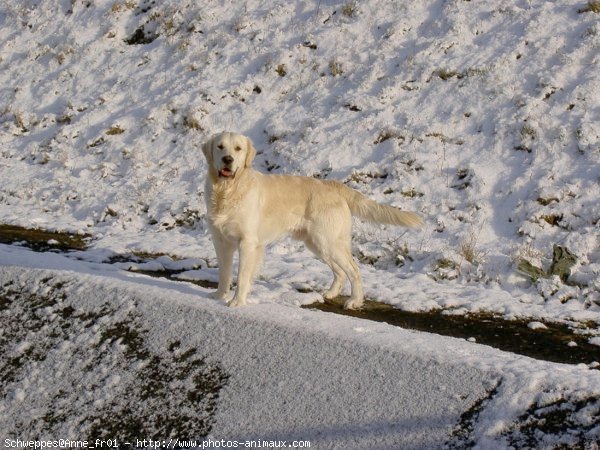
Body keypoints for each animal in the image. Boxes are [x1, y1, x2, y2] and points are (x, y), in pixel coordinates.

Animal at [202, 131, 422, 310]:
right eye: (220, 146)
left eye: (238, 148)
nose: (228, 159)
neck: (227, 192)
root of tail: (332, 185)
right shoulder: (220, 241)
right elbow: (224, 272)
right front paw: (219, 296)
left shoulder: (248, 242)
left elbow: (242, 276)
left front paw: (237, 302)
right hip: (317, 244)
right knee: (340, 272)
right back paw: (331, 293)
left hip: (328, 241)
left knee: (354, 270)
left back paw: (354, 301)